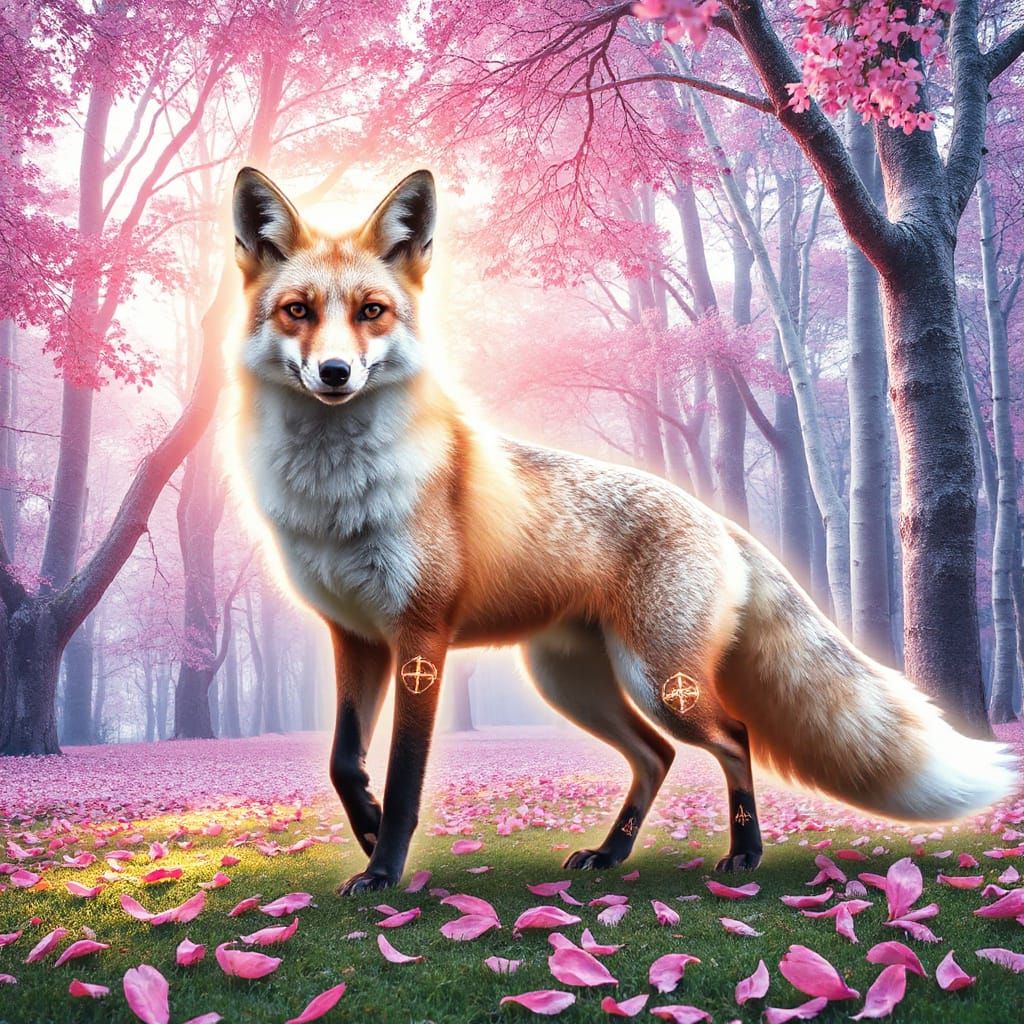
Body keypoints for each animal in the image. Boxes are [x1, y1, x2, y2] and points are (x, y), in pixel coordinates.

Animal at [231, 166, 1017, 895]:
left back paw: (744, 854)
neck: (339, 496)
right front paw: (364, 830)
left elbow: (404, 778)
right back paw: (611, 854)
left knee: (734, 737)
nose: (336, 372)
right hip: (572, 683)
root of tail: (720, 521)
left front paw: (385, 870)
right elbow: (344, 761)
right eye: (298, 310)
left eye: (373, 311)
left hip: (659, 680)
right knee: (656, 755)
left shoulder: (421, 636)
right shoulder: (356, 634)